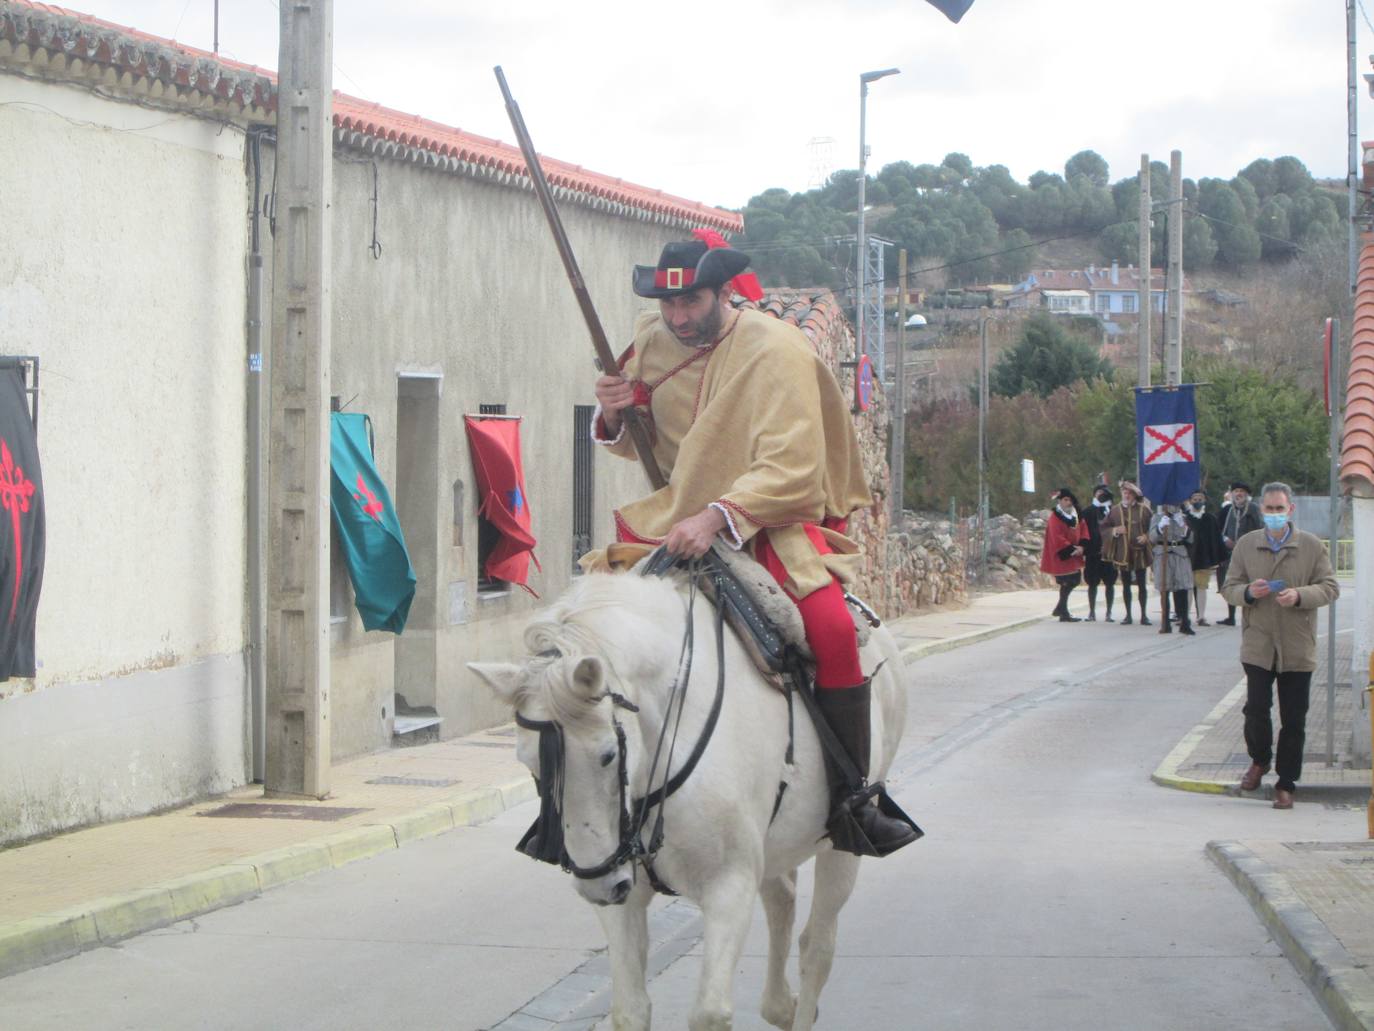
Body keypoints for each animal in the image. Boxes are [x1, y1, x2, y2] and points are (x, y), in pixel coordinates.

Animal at [472, 569, 912, 1028]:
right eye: (529, 766)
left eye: (608, 754)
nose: (598, 884)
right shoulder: (622, 899)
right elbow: (630, 1009)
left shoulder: (729, 888)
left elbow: (709, 1013)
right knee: (782, 901)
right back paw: (780, 1004)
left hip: (841, 847)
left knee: (817, 948)